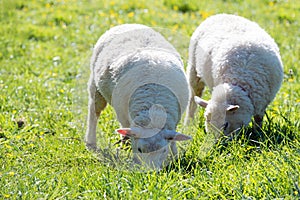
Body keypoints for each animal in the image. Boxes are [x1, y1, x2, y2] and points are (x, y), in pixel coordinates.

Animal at [85, 24, 191, 170]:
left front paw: (175, 156)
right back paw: (91, 142)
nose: (152, 171)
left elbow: (173, 139)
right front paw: (127, 150)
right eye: (140, 149)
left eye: (164, 150)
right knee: (94, 112)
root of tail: (128, 24)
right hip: (95, 87)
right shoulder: (123, 114)